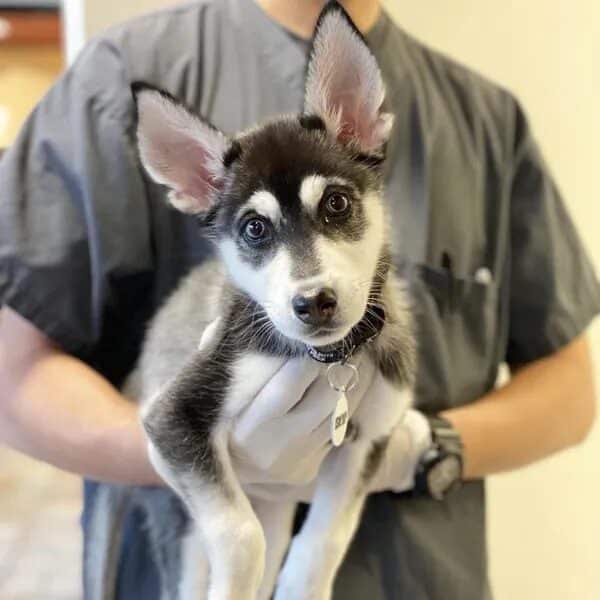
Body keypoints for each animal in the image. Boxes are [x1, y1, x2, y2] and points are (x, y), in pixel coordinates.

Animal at [89, 4, 414, 600]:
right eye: (255, 229)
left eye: (336, 204)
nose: (314, 302)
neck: (327, 362)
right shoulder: (173, 420)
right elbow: (241, 538)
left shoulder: (364, 446)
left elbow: (320, 545)